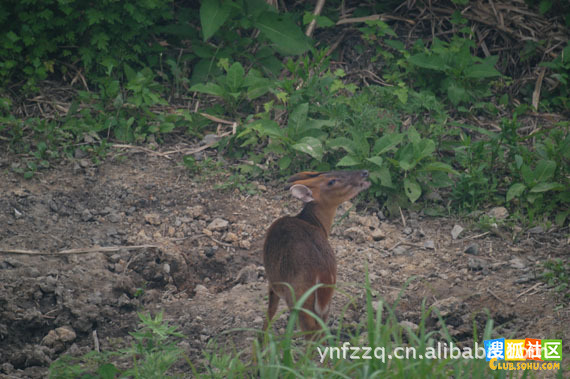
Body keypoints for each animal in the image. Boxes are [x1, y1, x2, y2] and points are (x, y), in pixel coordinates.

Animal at [260, 171, 368, 340]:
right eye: (331, 180)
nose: (364, 172)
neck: (313, 222)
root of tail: (323, 274)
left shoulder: (272, 280)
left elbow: (270, 313)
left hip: (298, 298)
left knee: (311, 333)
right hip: (324, 302)